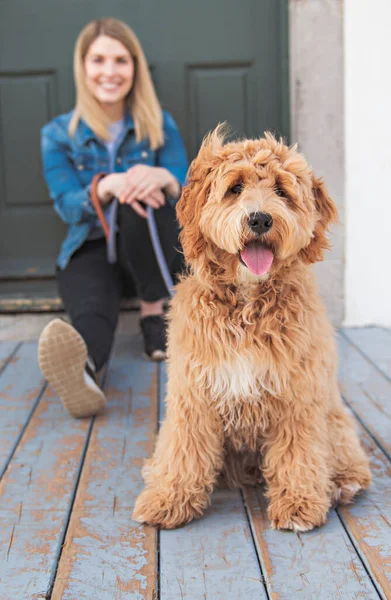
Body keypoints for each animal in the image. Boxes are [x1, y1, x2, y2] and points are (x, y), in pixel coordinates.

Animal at [133, 125, 372, 528]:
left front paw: (299, 504)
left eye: (281, 190)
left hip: (335, 419)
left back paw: (342, 484)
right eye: (235, 188)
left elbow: (298, 453)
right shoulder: (192, 394)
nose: (260, 219)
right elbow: (184, 448)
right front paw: (168, 498)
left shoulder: (298, 396)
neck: (247, 303)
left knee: (347, 458)